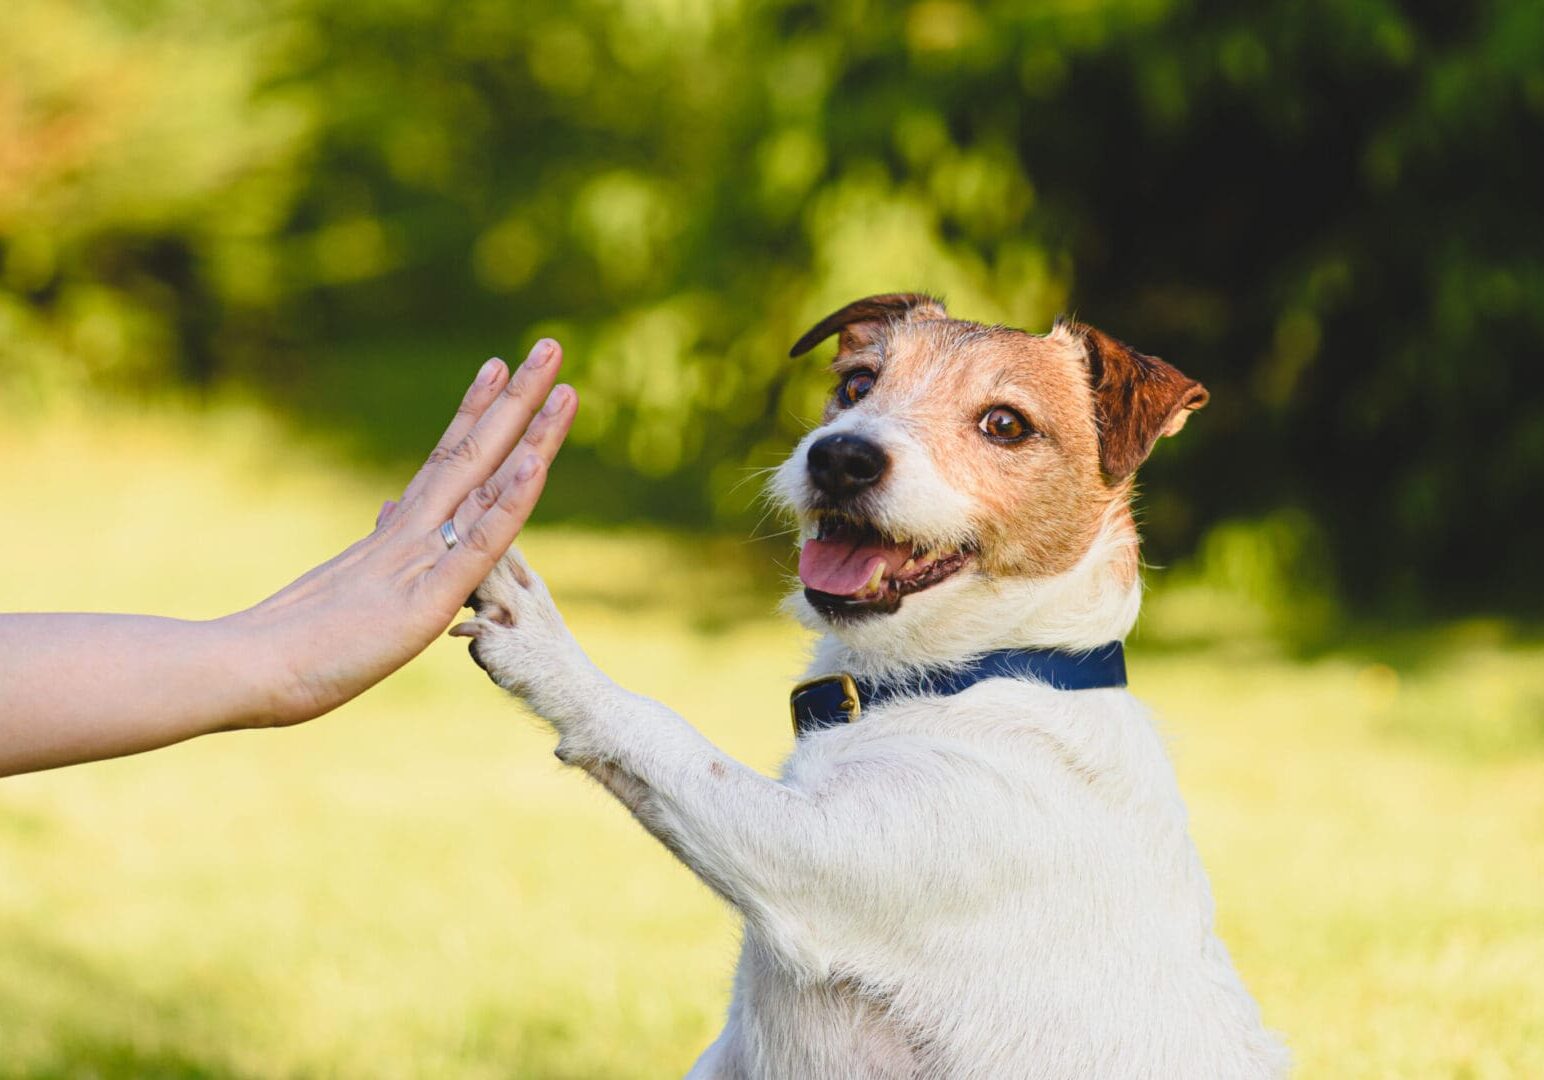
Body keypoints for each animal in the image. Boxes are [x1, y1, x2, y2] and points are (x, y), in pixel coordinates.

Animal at [453, 292, 1290, 1075]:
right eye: (857, 383)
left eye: (1006, 424)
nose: (840, 458)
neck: (959, 679)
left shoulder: (808, 859)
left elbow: (659, 732)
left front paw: (537, 635)